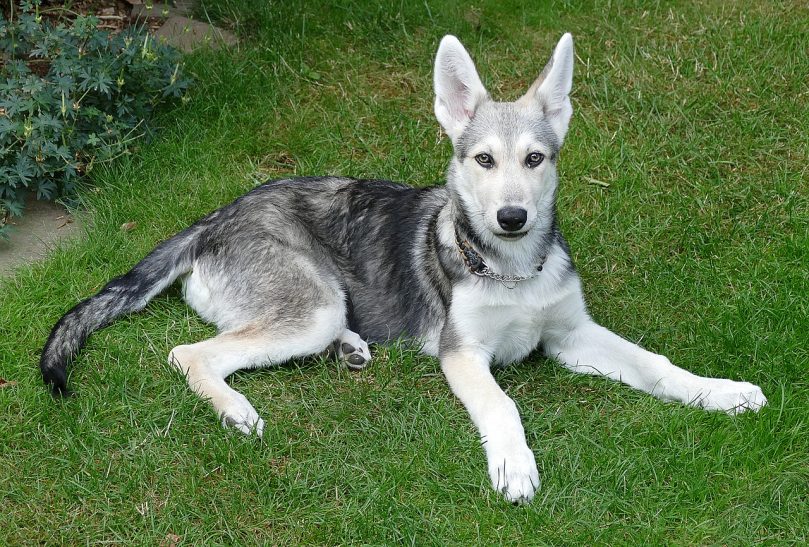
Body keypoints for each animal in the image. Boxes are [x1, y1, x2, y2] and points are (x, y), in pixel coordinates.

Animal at [42, 33, 764, 506]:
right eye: (481, 160)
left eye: (535, 159)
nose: (512, 217)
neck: (512, 270)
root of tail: (212, 218)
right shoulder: (462, 352)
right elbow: (502, 405)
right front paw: (513, 465)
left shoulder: (571, 334)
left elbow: (656, 365)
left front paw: (719, 391)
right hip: (311, 304)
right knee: (189, 353)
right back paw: (237, 410)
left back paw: (349, 349)